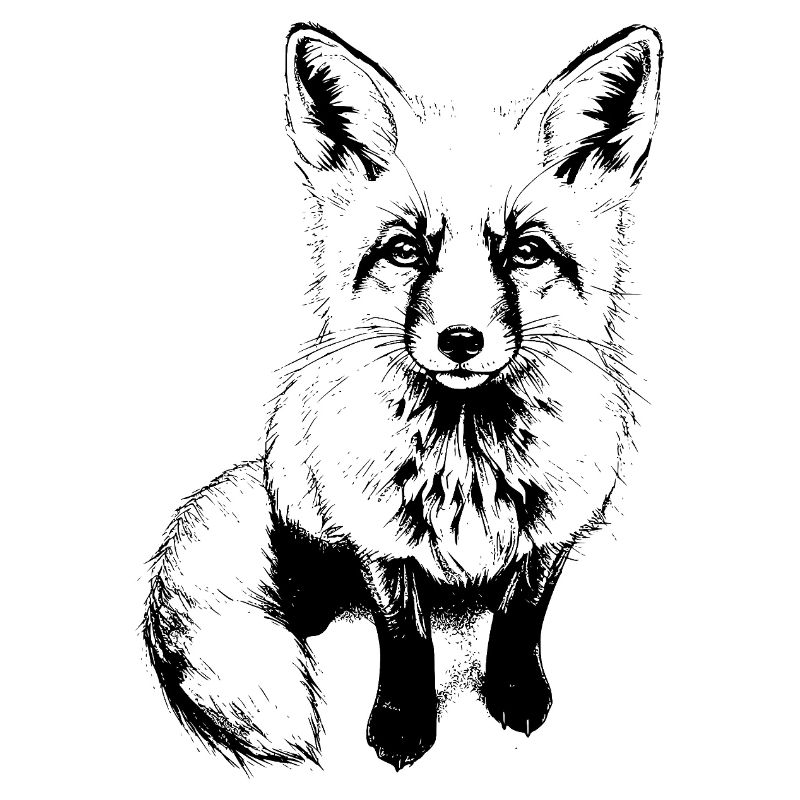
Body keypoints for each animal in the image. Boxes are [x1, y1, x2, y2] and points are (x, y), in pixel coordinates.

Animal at [143, 22, 662, 771]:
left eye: (526, 252)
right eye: (406, 250)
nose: (461, 340)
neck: (468, 461)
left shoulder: (554, 527)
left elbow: (519, 614)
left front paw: (514, 692)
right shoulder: (381, 536)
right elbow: (405, 637)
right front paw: (402, 722)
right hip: (298, 475)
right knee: (296, 544)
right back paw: (306, 597)